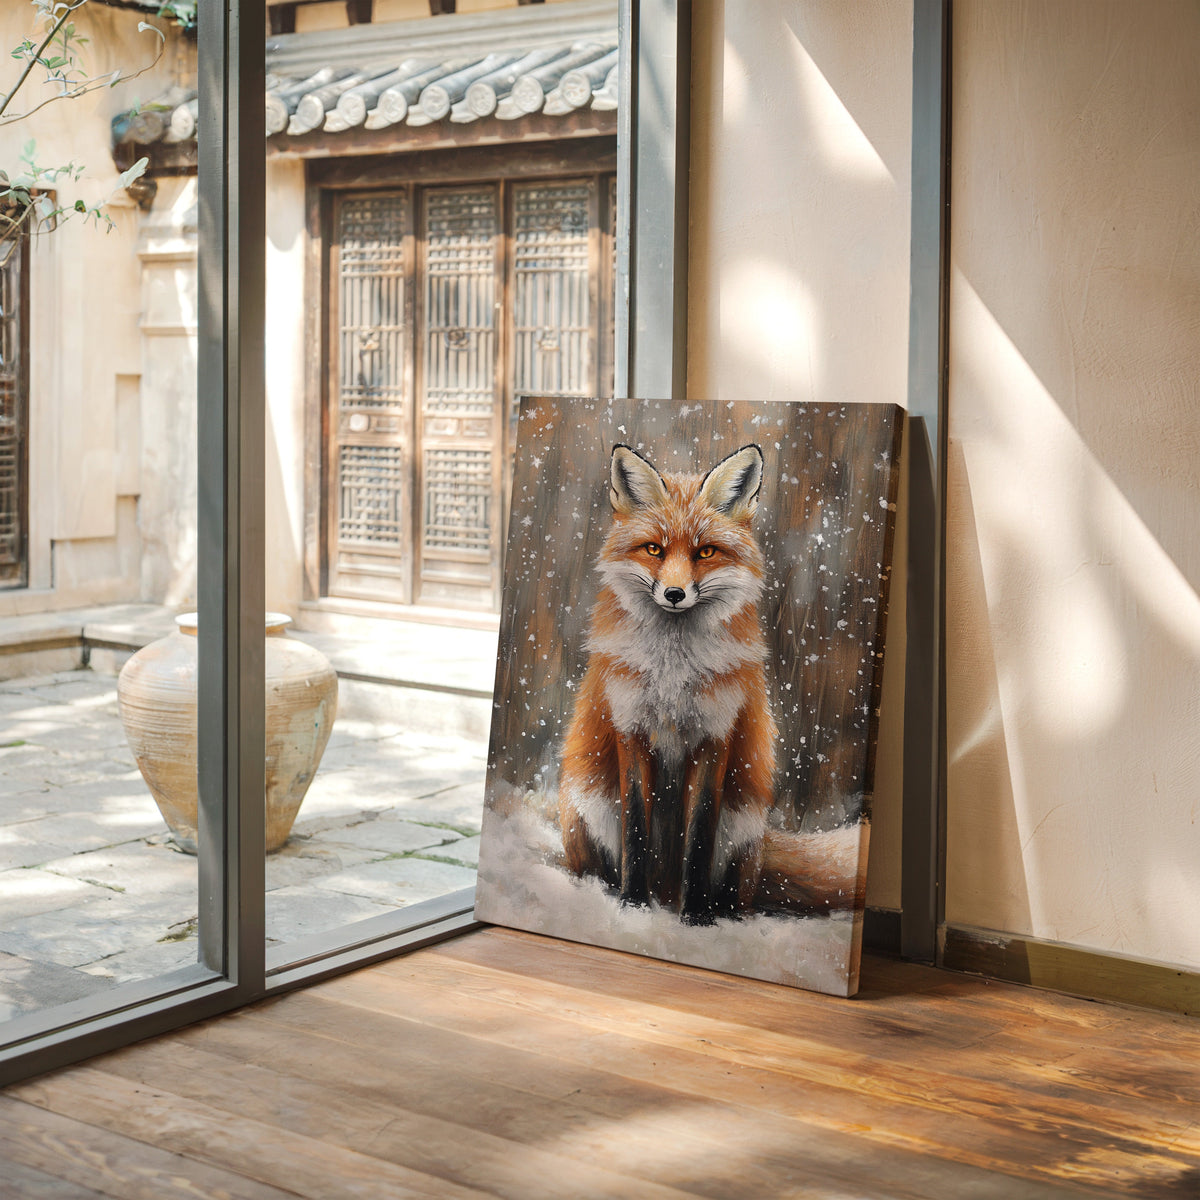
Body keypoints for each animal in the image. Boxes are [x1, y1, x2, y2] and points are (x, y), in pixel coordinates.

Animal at [558, 442, 777, 924]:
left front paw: (696, 917)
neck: (673, 673)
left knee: (737, 891)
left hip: (745, 824)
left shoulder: (716, 735)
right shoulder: (630, 728)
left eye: (706, 552)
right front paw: (633, 905)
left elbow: (698, 837)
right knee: (591, 867)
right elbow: (635, 829)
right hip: (586, 801)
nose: (674, 594)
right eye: (654, 549)